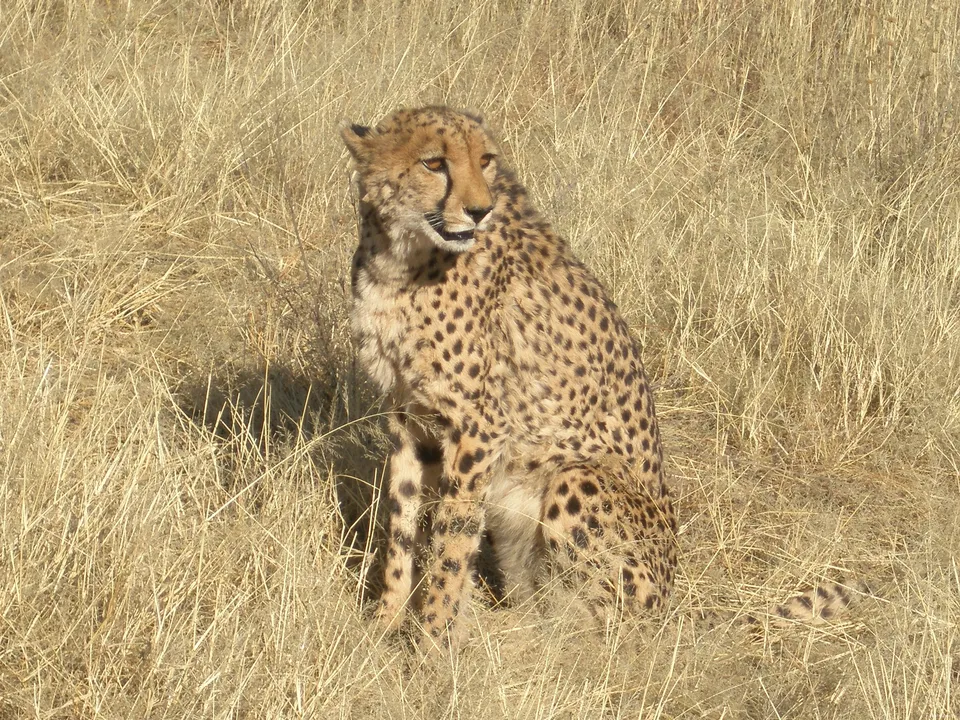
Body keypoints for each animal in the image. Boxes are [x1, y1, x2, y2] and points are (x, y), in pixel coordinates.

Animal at [340, 106, 865, 648]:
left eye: (484, 160)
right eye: (433, 163)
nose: (479, 211)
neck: (401, 259)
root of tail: (671, 606)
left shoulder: (480, 427)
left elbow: (452, 540)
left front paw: (433, 641)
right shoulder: (408, 416)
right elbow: (402, 525)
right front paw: (386, 623)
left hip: (577, 478)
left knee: (607, 629)